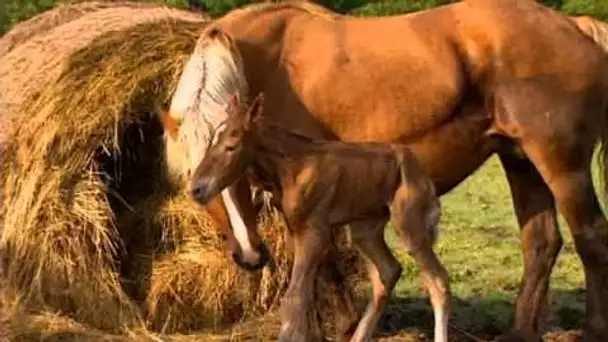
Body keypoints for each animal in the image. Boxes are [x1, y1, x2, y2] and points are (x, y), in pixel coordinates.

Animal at [183, 93, 448, 342]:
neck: (289, 168)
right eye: (211, 142)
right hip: (364, 230)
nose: (196, 189)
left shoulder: (315, 233)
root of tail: (419, 169)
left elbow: (294, 298)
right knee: (388, 272)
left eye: (231, 146)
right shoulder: (296, 232)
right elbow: (304, 296)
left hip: (410, 227)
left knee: (439, 282)